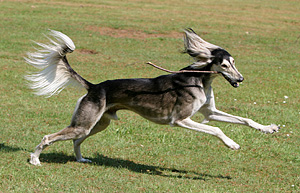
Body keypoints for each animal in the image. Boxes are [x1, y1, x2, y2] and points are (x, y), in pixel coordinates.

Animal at [25, 29, 278, 166]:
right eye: (224, 65)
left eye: (234, 62)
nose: (241, 78)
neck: (199, 79)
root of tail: (94, 86)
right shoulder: (181, 120)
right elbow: (216, 129)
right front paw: (231, 143)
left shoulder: (210, 112)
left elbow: (245, 120)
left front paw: (268, 128)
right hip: (85, 123)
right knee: (49, 137)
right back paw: (35, 159)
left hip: (97, 123)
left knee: (77, 140)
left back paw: (80, 159)